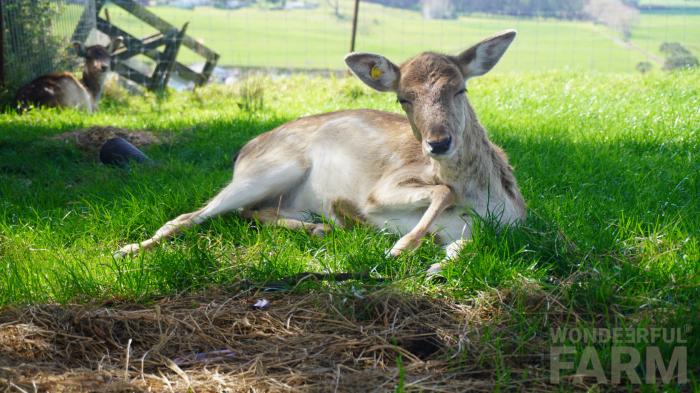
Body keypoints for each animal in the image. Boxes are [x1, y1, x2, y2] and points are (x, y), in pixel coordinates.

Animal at [116, 30, 524, 274]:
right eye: (403, 98)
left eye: (461, 89)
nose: (437, 143)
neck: (485, 201)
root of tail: (245, 149)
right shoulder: (382, 189)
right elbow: (440, 190)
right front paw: (400, 246)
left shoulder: (499, 228)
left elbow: (462, 247)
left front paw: (435, 268)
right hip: (269, 170)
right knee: (188, 216)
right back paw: (126, 250)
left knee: (252, 212)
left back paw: (321, 228)